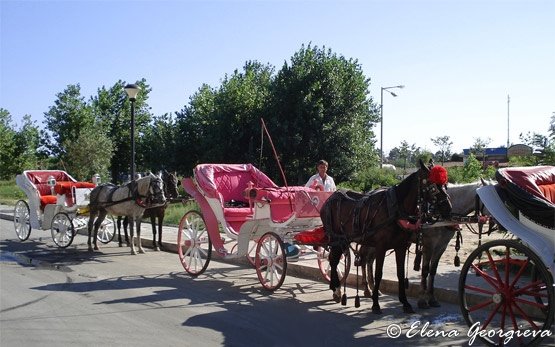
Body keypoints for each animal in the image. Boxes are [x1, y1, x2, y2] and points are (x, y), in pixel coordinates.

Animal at [322, 160, 452, 316]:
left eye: (445, 184)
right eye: (433, 186)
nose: (448, 208)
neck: (395, 210)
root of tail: (330, 198)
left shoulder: (401, 246)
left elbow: (400, 273)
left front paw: (405, 303)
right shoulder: (381, 247)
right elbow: (378, 273)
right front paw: (376, 304)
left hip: (344, 240)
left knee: (340, 260)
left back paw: (338, 289)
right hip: (337, 239)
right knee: (335, 261)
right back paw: (337, 290)